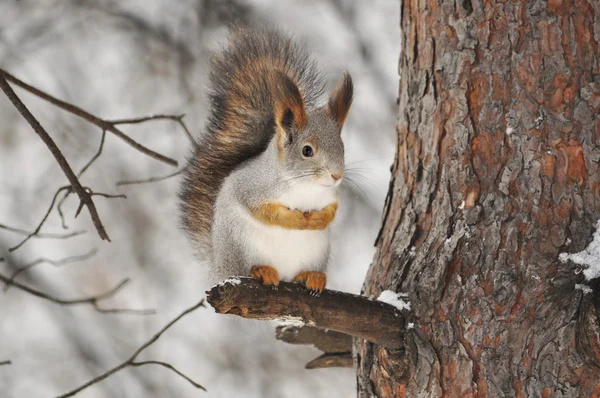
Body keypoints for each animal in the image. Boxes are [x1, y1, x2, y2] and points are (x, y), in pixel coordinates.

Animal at [180, 24, 354, 292]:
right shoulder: (252, 188)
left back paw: (312, 276)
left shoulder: (331, 195)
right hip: (240, 245)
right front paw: (296, 219)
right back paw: (261, 271)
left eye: (342, 148)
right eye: (307, 151)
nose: (336, 176)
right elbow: (265, 210)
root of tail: (218, 270)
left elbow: (333, 210)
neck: (305, 186)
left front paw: (318, 218)